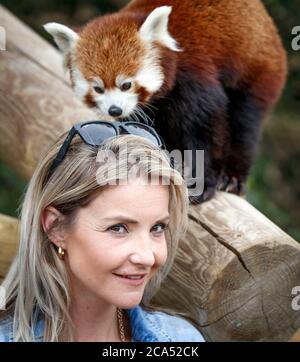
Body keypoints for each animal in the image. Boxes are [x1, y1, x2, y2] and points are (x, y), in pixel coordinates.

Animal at [43, 0, 288, 204]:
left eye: (126, 85)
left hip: (257, 72)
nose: (114, 110)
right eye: (98, 88)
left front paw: (202, 184)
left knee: (244, 123)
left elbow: (206, 130)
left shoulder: (194, 77)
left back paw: (233, 178)